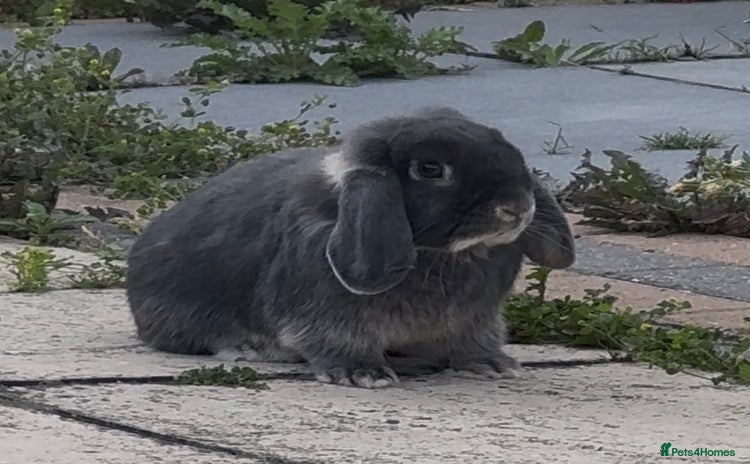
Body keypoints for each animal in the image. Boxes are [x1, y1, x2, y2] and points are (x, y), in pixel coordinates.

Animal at [125, 106, 575, 389]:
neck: (444, 254)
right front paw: (364, 375)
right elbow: (338, 340)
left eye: (505, 145)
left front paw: (494, 365)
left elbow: (474, 340)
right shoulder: (327, 312)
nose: (517, 207)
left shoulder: (474, 319)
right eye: (430, 169)